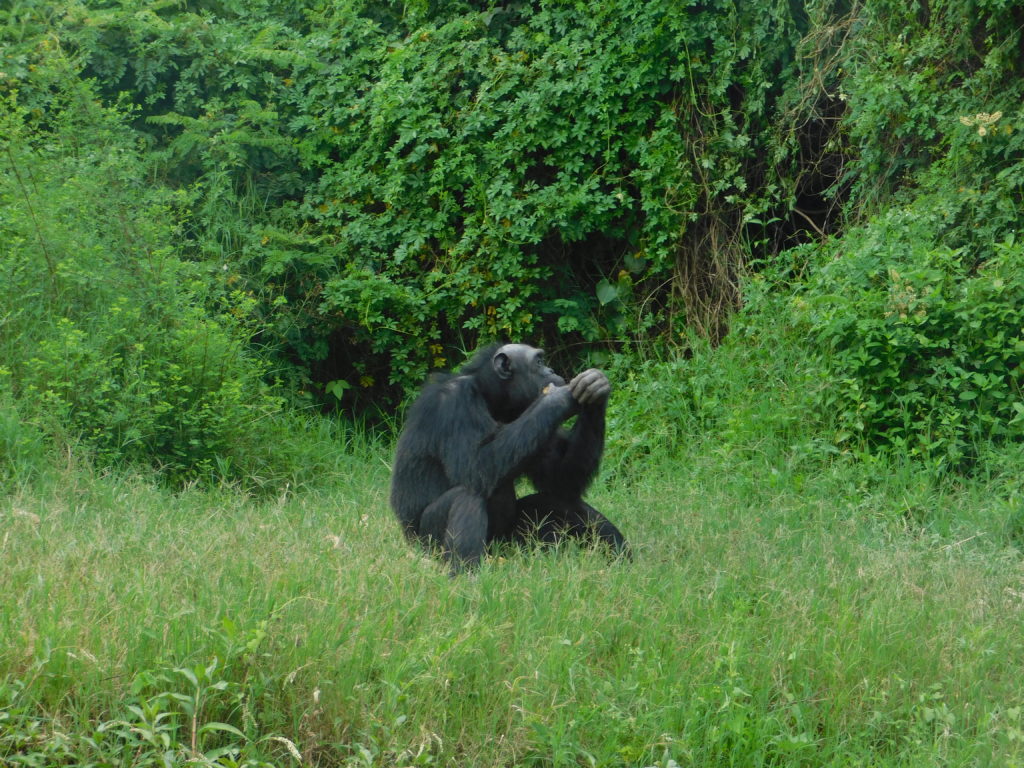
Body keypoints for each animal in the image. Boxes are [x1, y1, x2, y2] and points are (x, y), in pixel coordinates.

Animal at [389, 342, 622, 573]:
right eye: (539, 361)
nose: (551, 370)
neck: (491, 398)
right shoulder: (454, 401)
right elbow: (474, 468)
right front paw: (558, 398)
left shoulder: (538, 421)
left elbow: (561, 481)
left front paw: (596, 390)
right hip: (429, 547)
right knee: (466, 496)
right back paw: (465, 576)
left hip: (511, 547)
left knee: (555, 501)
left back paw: (621, 560)